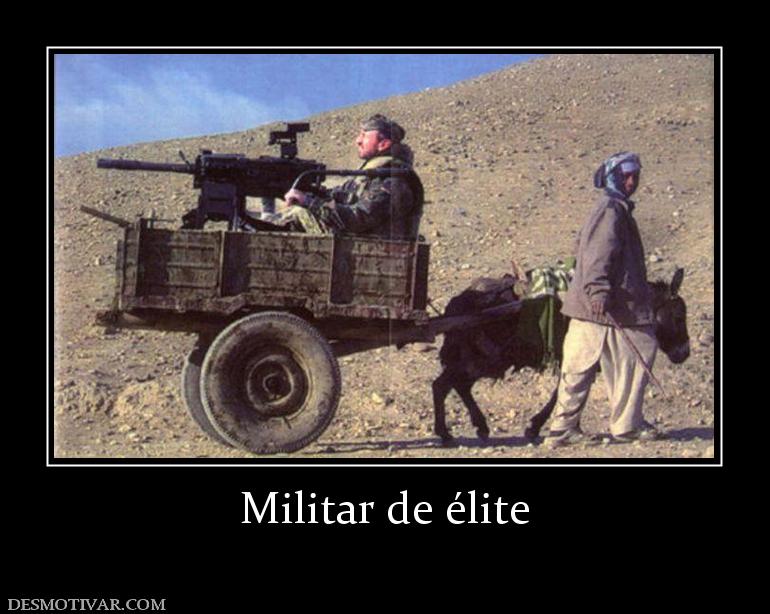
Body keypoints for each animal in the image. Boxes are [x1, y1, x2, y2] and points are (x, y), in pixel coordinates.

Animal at [432, 268, 690, 445]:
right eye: (679, 316)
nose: (684, 353)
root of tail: (457, 303)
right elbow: (565, 392)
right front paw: (542, 427)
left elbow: (571, 391)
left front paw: (565, 427)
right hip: (483, 359)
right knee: (443, 385)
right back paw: (451, 432)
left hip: (477, 359)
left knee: (455, 385)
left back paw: (474, 427)